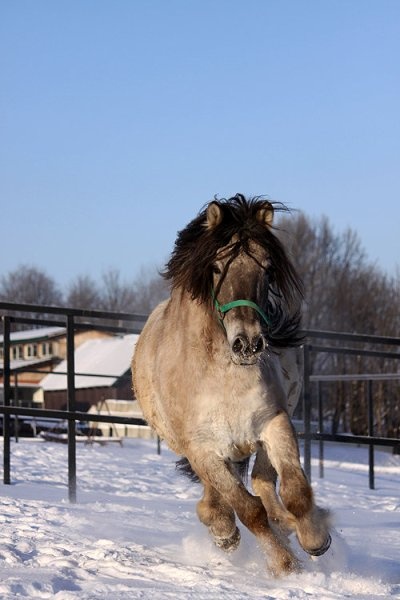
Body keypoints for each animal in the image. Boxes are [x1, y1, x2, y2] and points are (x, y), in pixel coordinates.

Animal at [132, 196, 332, 576]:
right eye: (215, 267)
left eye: (266, 269)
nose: (248, 343)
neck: (223, 378)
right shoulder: (203, 449)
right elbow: (248, 509)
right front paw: (285, 566)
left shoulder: (274, 422)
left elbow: (295, 491)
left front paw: (315, 540)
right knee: (226, 495)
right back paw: (224, 531)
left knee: (264, 484)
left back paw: (288, 526)